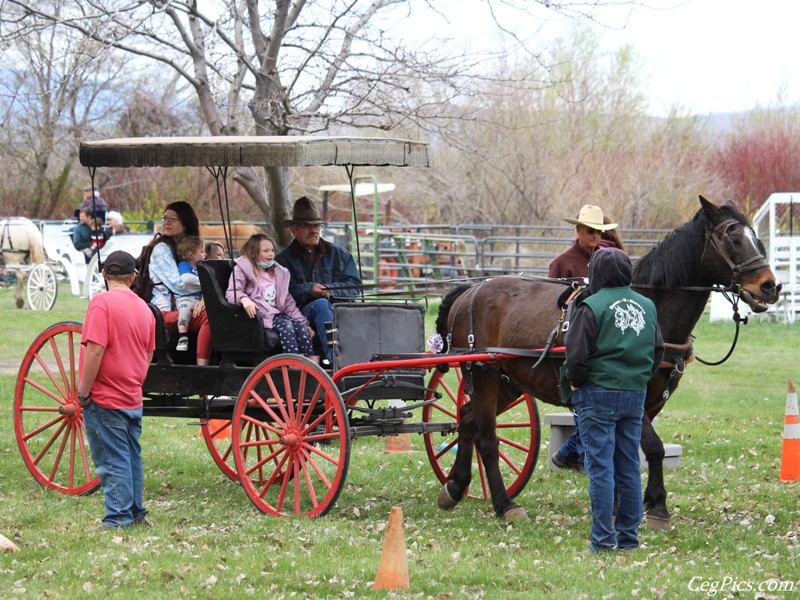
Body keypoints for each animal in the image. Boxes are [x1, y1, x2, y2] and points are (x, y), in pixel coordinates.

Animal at [438, 195, 780, 524]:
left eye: (755, 237)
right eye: (731, 238)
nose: (770, 285)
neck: (651, 308)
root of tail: (470, 290)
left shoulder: (652, 401)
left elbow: (631, 450)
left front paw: (630, 503)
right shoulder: (628, 394)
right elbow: (653, 447)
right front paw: (656, 505)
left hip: (510, 381)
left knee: (466, 419)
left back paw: (455, 486)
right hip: (484, 373)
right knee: (487, 437)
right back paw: (504, 502)